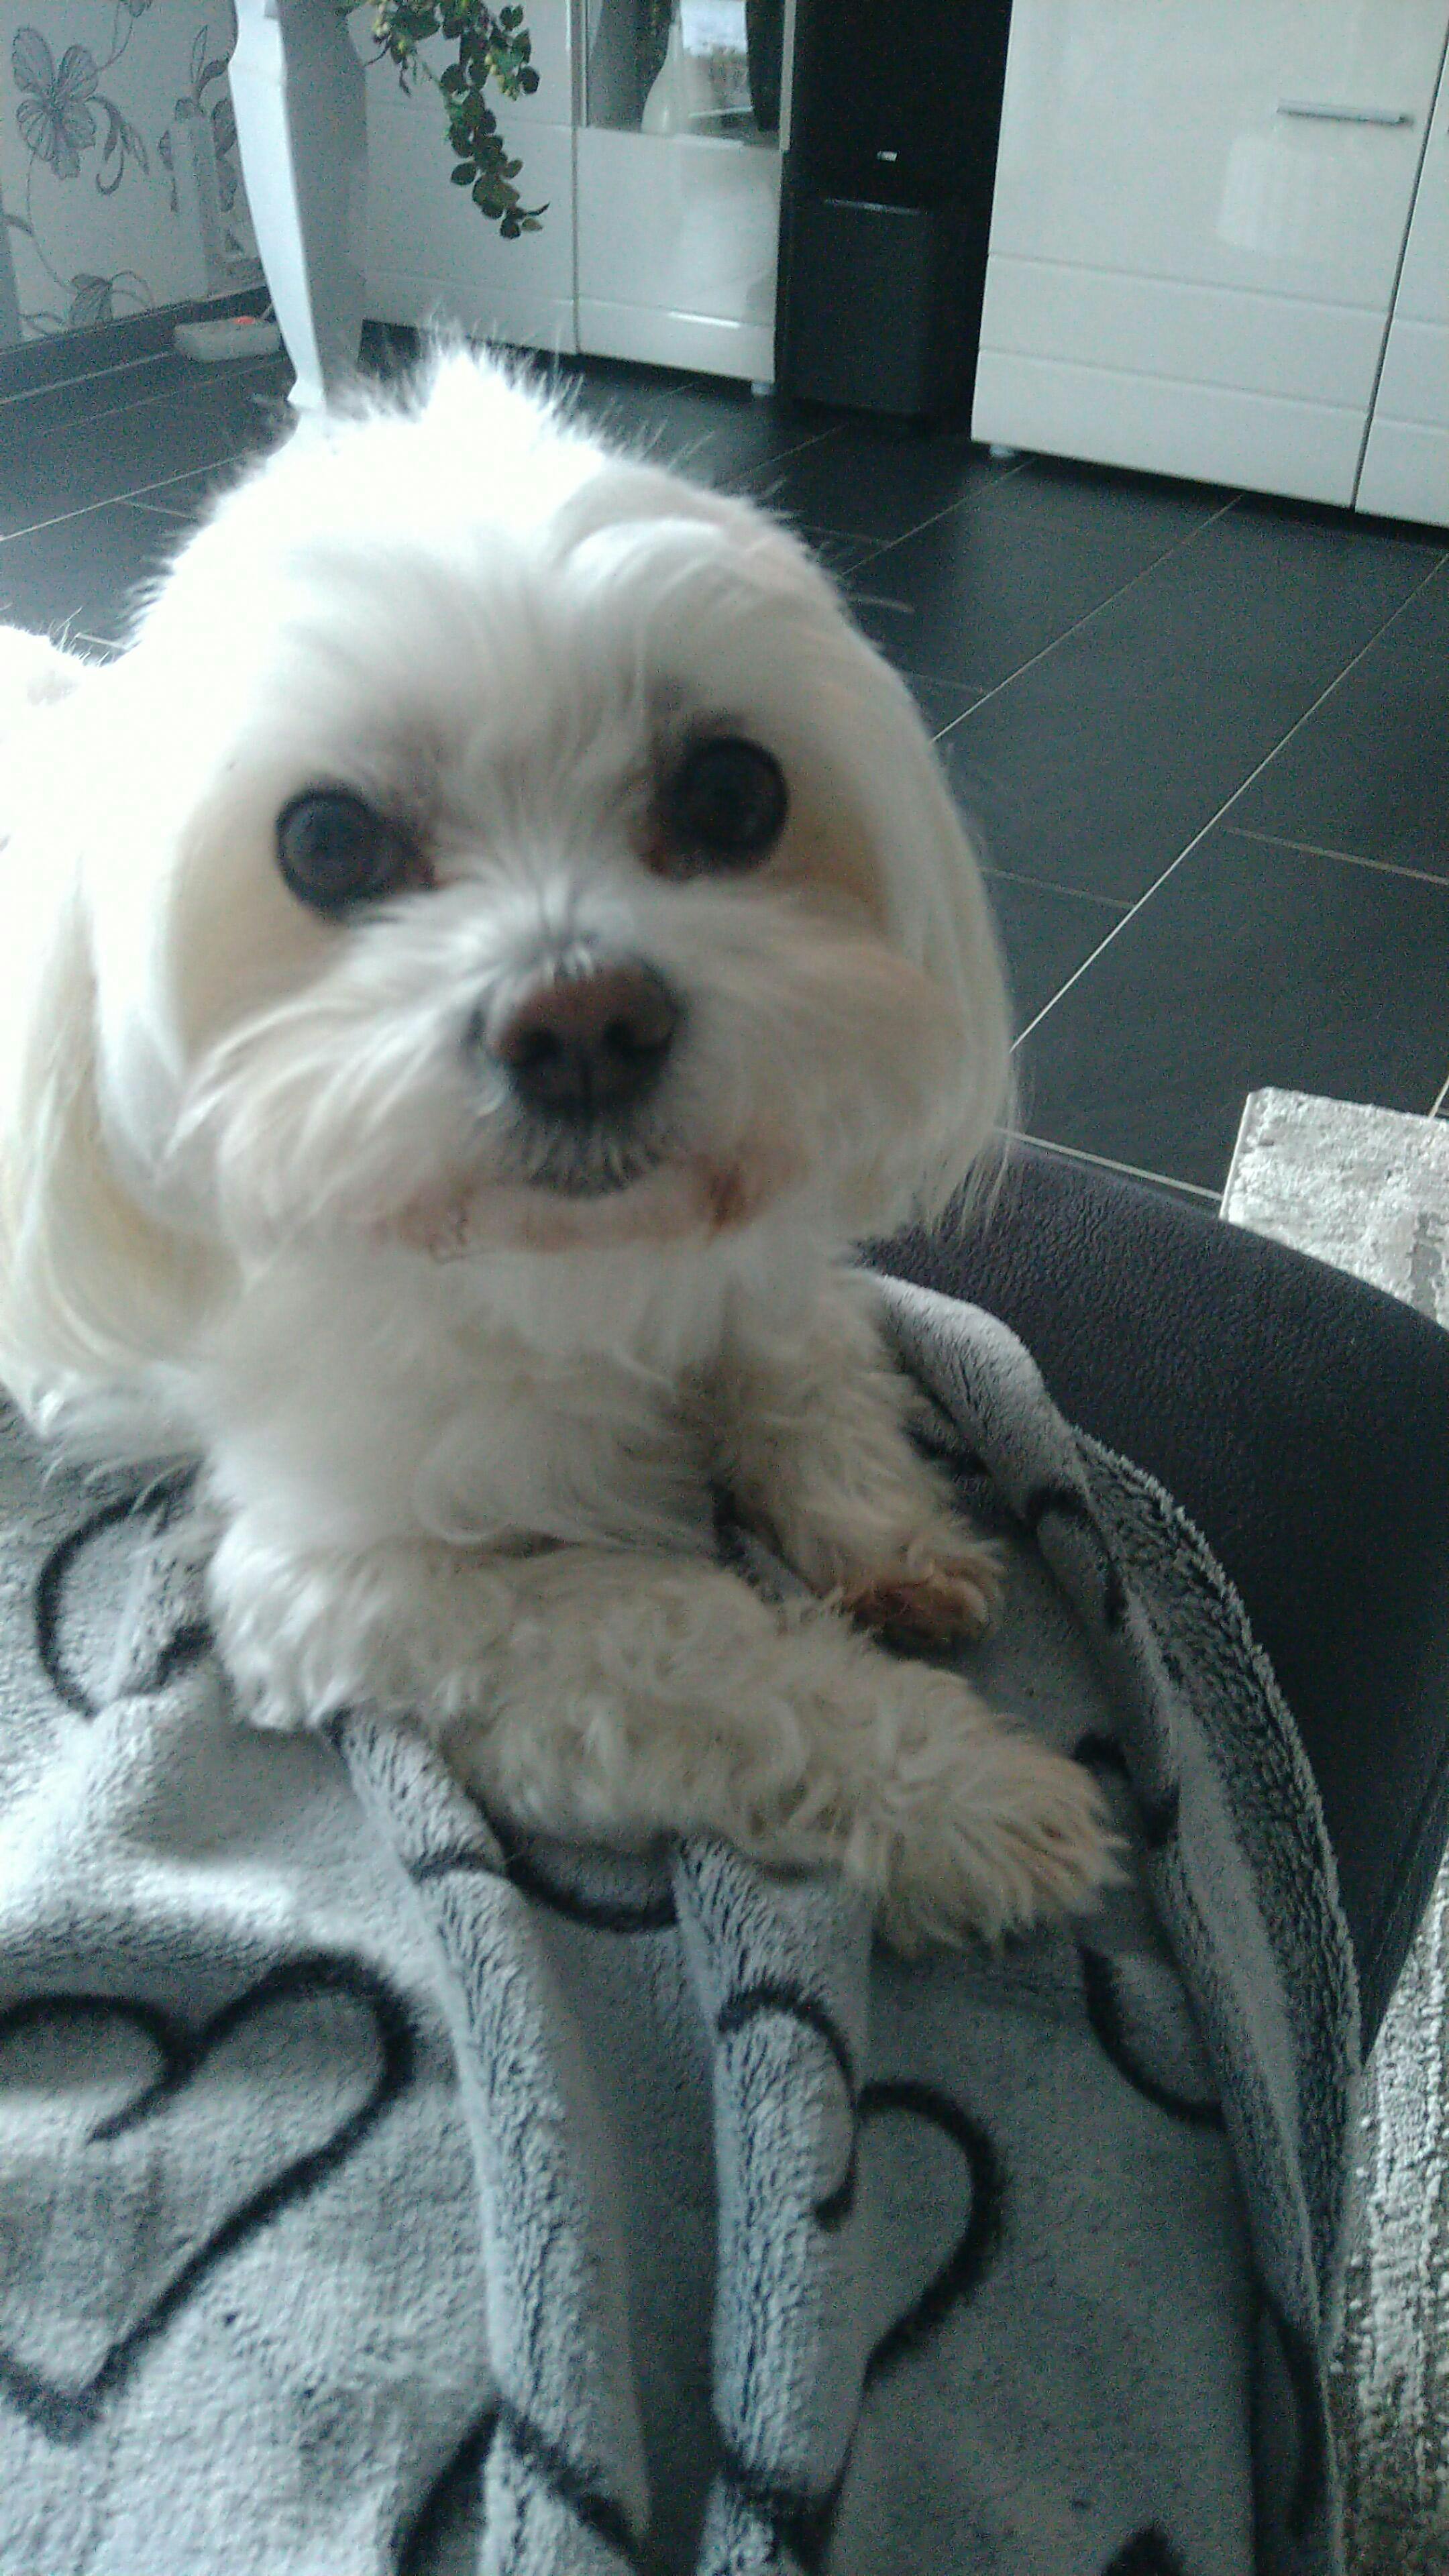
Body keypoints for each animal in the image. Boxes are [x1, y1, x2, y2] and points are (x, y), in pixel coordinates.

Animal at [0, 353, 1114, 1948]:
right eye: (325, 840)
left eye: (732, 793)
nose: (583, 1022)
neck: (586, 1266)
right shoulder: (352, 1588)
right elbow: (681, 1642)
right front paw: (967, 1792)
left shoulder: (766, 1265)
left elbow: (810, 1370)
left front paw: (883, 1532)